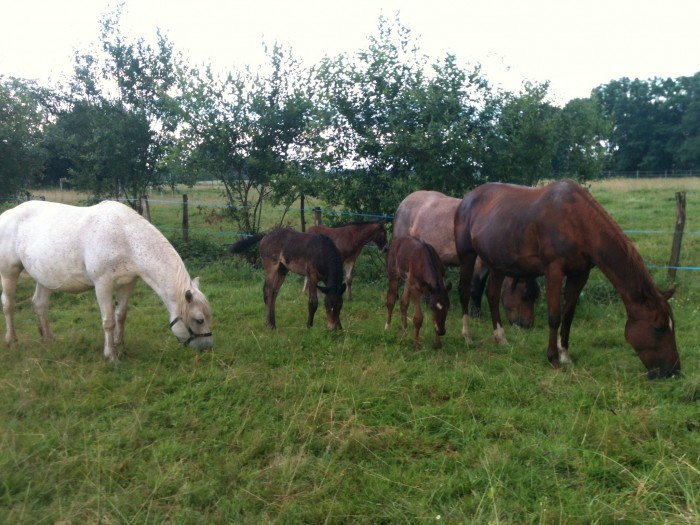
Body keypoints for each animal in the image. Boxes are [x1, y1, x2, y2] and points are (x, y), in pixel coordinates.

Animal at [0, 199, 213, 358]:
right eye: (199, 320)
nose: (208, 347)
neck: (127, 238)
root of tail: (6, 215)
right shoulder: (103, 284)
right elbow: (108, 321)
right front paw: (111, 355)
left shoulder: (128, 283)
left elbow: (121, 315)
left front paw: (120, 344)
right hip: (9, 272)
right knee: (9, 305)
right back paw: (12, 341)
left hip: (45, 276)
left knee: (40, 304)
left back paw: (49, 339)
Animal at [396, 188, 540, 328]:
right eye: (525, 296)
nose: (527, 326)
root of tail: (404, 202)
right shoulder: (476, 262)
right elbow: (476, 288)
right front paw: (476, 315)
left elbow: (481, 288)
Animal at [452, 179, 680, 376]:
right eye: (659, 328)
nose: (673, 371)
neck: (578, 221)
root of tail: (467, 199)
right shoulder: (554, 270)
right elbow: (554, 315)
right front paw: (553, 359)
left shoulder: (580, 274)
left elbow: (568, 315)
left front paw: (565, 356)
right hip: (468, 255)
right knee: (464, 291)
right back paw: (467, 336)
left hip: (497, 261)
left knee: (492, 295)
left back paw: (501, 339)